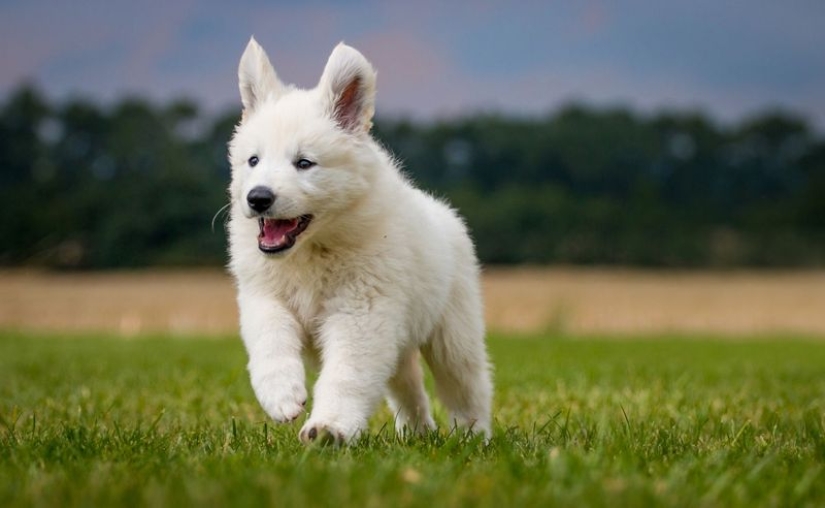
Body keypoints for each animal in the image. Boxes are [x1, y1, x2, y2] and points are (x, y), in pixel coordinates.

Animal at [227, 38, 490, 444]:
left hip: (452, 334)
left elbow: (346, 375)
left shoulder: (361, 312)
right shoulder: (263, 296)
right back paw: (416, 432)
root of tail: (442, 211)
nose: (258, 198)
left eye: (304, 163)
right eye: (253, 160)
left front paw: (328, 427)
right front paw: (282, 395)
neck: (312, 250)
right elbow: (270, 340)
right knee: (407, 386)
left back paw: (473, 436)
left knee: (468, 385)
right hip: (398, 342)